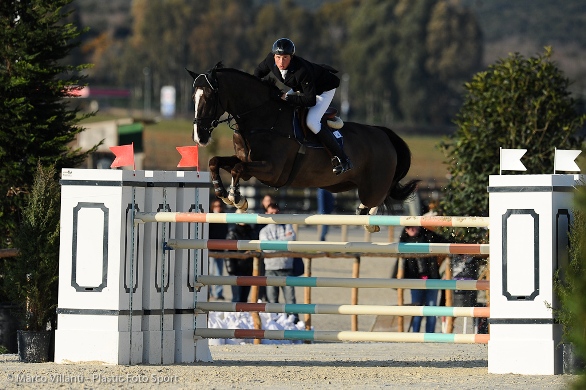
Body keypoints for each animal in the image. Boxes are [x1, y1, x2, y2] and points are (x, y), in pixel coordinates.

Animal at [185, 62, 418, 230]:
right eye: (193, 97)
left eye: (209, 97)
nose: (200, 137)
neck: (261, 118)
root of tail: (383, 134)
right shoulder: (249, 163)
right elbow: (217, 161)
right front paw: (222, 191)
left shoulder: (272, 170)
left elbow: (237, 169)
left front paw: (236, 198)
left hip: (372, 186)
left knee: (378, 197)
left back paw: (367, 218)